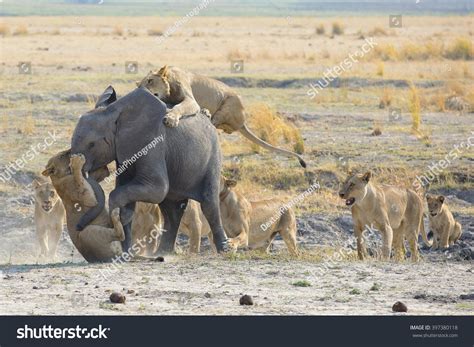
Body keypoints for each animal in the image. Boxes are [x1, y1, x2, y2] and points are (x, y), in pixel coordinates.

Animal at [71, 86, 231, 256]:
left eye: (92, 144)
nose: (79, 227)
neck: (114, 112)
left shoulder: (152, 142)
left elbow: (157, 188)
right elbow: (128, 194)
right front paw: (127, 253)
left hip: (212, 157)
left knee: (209, 203)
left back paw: (224, 249)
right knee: (171, 210)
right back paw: (163, 252)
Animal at [137, 66, 308, 169]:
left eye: (150, 81)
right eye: (139, 85)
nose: (140, 91)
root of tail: (243, 122)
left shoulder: (191, 101)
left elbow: (179, 107)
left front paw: (171, 119)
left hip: (229, 102)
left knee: (215, 123)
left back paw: (206, 113)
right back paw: (206, 112)